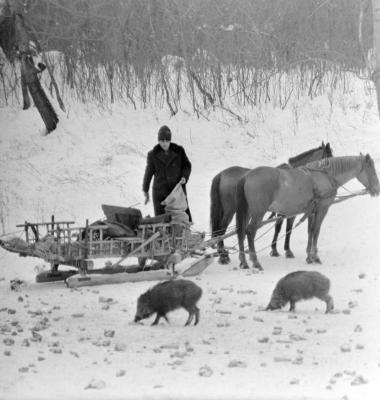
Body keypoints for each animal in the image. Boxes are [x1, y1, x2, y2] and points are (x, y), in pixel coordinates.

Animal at [236, 155, 378, 270]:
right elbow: (316, 231)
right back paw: (255, 261)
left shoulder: (312, 211)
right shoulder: (322, 209)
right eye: (371, 169)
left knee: (241, 231)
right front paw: (315, 257)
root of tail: (247, 176)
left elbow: (310, 231)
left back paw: (243, 261)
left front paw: (309, 256)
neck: (325, 176)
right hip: (258, 212)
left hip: (248, 211)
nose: (377, 189)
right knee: (250, 231)